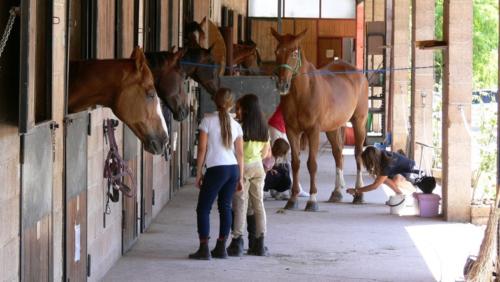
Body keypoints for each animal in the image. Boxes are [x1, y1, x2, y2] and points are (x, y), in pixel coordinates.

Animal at [272, 28, 370, 212]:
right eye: (277, 52)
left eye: (294, 52)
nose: (282, 85)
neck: (302, 92)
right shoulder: (292, 130)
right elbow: (295, 163)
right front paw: (292, 200)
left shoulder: (313, 131)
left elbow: (312, 164)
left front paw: (312, 200)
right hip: (332, 128)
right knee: (338, 154)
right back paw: (336, 192)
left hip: (359, 122)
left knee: (358, 153)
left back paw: (359, 194)